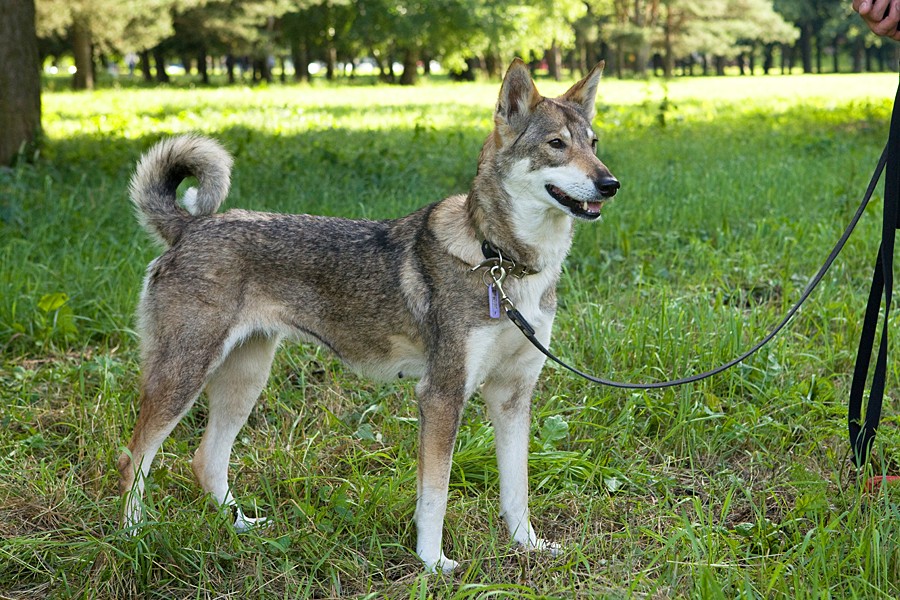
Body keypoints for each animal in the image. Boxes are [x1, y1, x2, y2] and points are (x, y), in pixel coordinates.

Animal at [119, 57, 620, 572]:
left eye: (594, 143)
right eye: (556, 144)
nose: (610, 184)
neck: (500, 261)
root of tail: (189, 227)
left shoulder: (513, 396)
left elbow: (516, 489)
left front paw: (528, 546)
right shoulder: (441, 396)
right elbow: (435, 495)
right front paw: (432, 563)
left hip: (244, 379)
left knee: (207, 460)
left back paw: (240, 527)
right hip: (182, 376)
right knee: (135, 457)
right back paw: (134, 536)